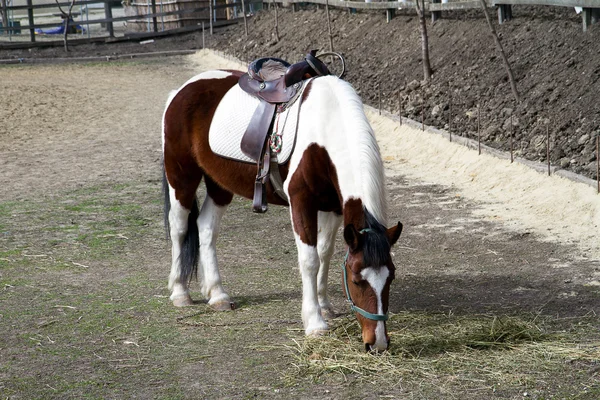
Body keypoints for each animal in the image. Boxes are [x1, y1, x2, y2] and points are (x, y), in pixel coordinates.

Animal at [163, 69, 404, 350]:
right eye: (357, 280)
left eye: (390, 277)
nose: (377, 343)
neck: (326, 129)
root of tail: (182, 90)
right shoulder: (301, 202)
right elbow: (310, 260)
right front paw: (315, 322)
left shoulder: (333, 207)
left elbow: (324, 253)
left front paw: (324, 305)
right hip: (182, 178)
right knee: (179, 228)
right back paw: (180, 291)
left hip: (219, 185)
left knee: (206, 228)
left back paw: (217, 294)